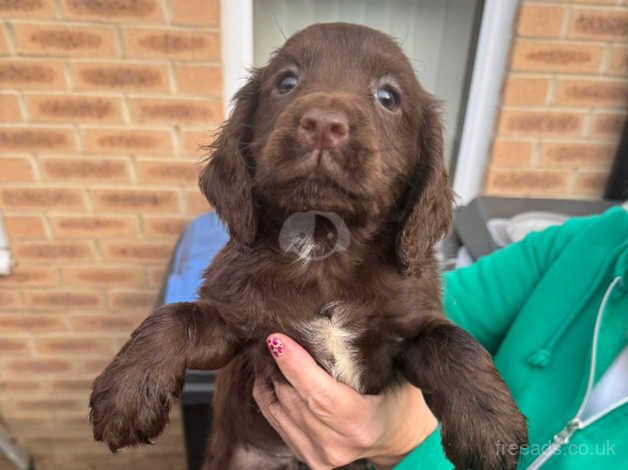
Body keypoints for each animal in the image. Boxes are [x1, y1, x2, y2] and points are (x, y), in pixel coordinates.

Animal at [91, 23, 528, 468]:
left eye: (388, 97)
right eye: (287, 82)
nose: (323, 124)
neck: (324, 247)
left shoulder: (407, 329)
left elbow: (453, 342)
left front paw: (489, 425)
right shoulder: (236, 323)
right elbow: (176, 317)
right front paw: (124, 396)